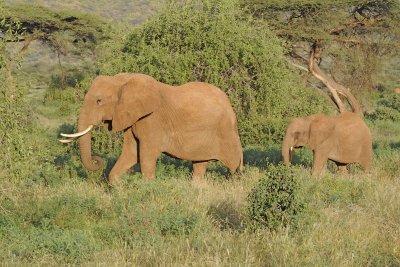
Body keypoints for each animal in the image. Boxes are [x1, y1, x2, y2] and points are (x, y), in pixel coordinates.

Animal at [57, 74, 242, 186]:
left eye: (99, 101)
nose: (98, 161)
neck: (122, 80)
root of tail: (230, 105)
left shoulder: (152, 119)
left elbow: (146, 154)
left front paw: (148, 188)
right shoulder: (132, 118)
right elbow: (132, 152)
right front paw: (120, 187)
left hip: (225, 132)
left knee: (234, 165)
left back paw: (234, 184)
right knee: (200, 164)